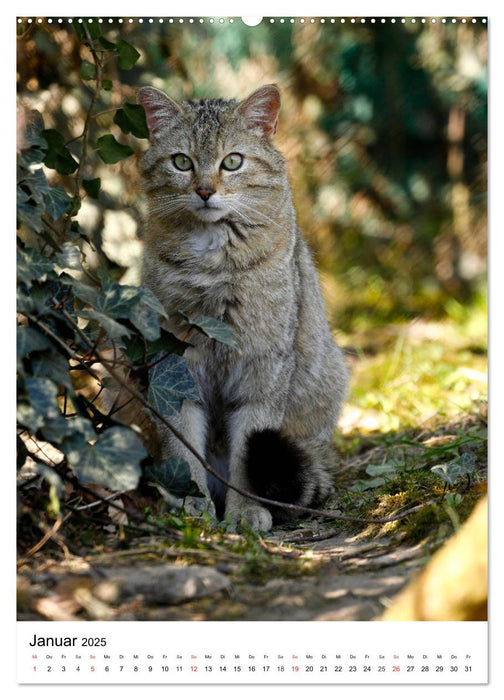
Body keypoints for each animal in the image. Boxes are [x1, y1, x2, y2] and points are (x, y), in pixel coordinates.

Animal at [136, 83, 348, 532]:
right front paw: (191, 502)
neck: (213, 262)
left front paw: (244, 510)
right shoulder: (176, 369)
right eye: (182, 162)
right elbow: (183, 448)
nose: (204, 190)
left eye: (232, 161)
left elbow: (247, 452)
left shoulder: (263, 368)